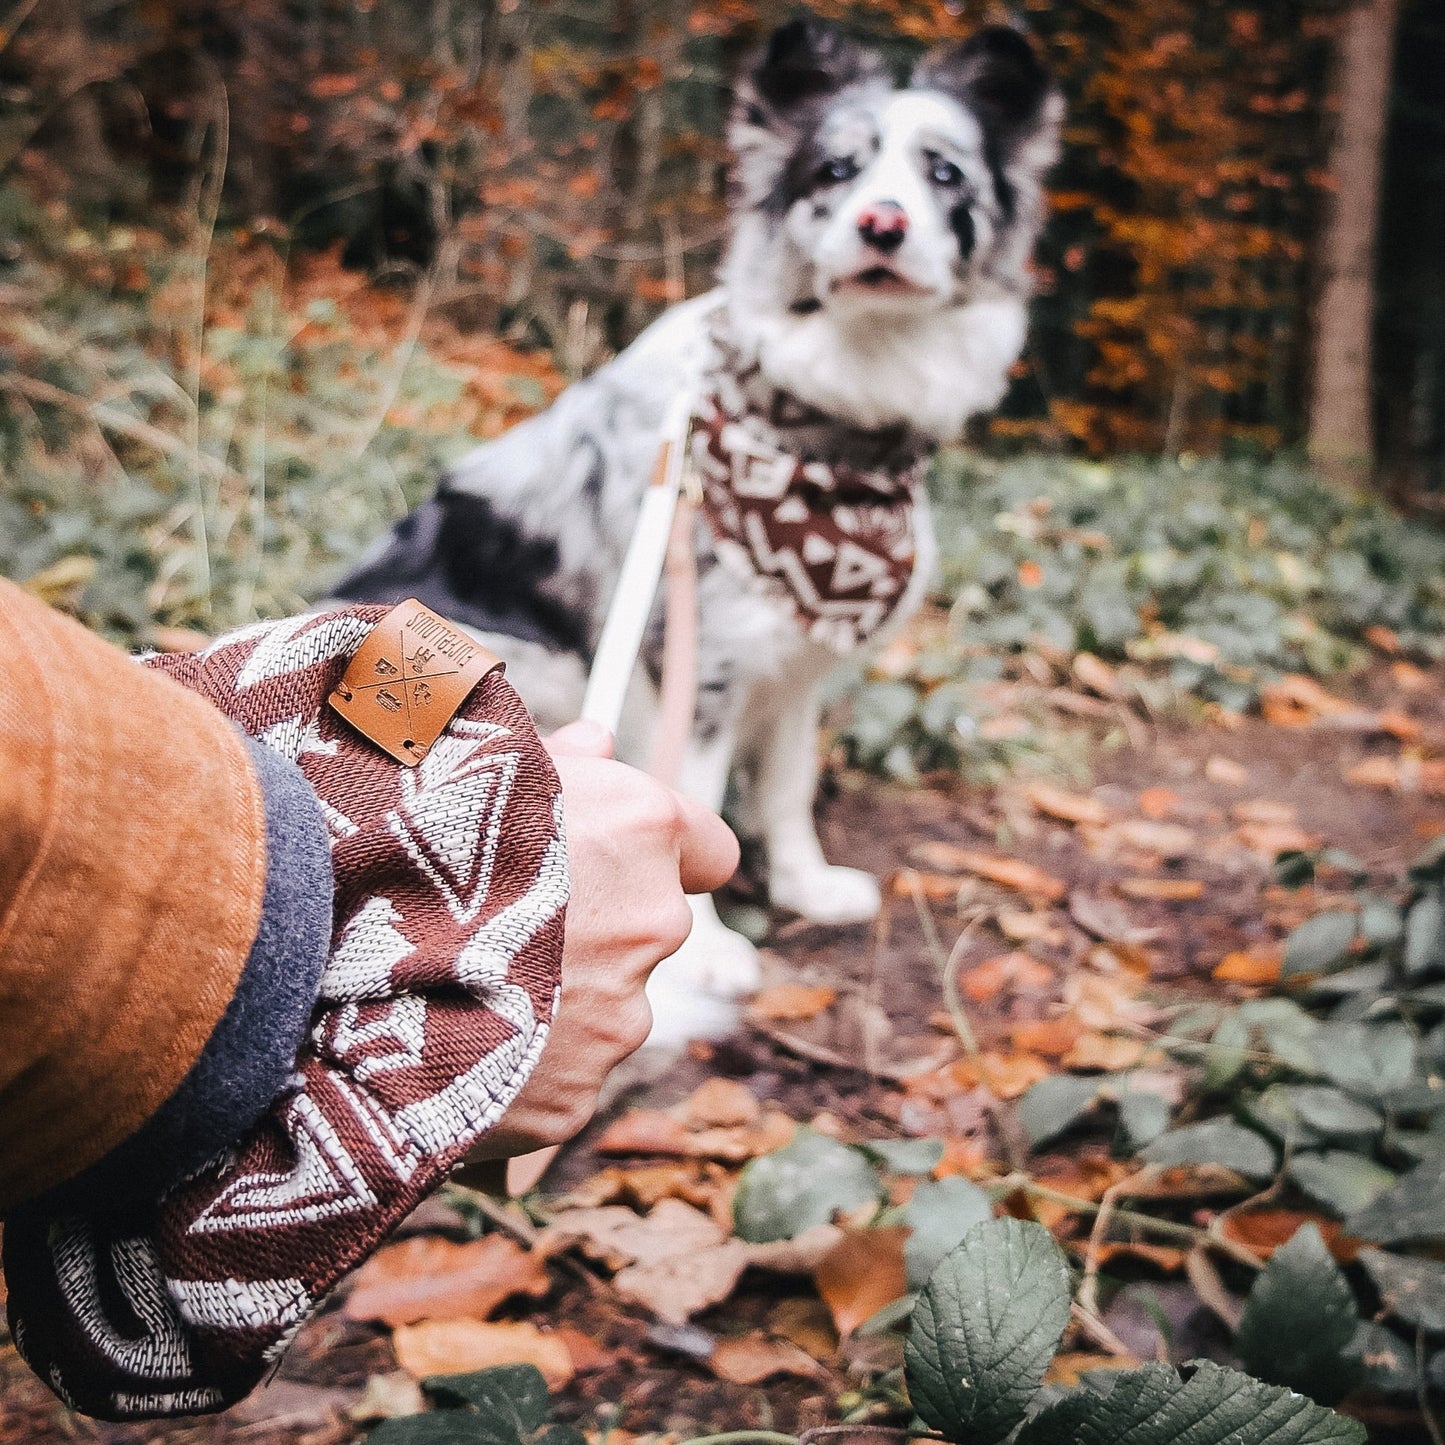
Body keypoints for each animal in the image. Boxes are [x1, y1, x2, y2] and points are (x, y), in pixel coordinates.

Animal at [338, 16, 1063, 1046]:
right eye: (835, 170)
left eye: (944, 173)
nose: (881, 224)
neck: (834, 418)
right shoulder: (694, 660)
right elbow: (696, 796)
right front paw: (708, 947)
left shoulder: (796, 659)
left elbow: (789, 781)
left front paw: (804, 886)